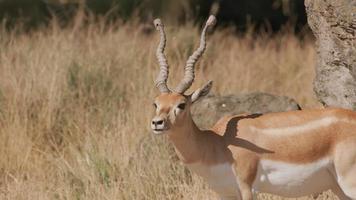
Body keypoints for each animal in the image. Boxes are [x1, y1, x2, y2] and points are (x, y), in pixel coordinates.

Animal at [150, 15, 356, 200]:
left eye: (181, 104)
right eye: (156, 103)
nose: (157, 123)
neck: (217, 143)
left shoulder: (247, 188)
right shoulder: (226, 193)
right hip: (338, 187)